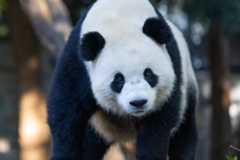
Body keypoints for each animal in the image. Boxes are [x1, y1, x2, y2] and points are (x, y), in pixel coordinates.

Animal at [47, 0, 199, 160]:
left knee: (184, 132)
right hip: (99, 125)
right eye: (118, 79)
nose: (138, 102)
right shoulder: (78, 64)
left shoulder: (173, 65)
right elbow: (65, 112)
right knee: (90, 142)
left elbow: (158, 124)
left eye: (148, 74)